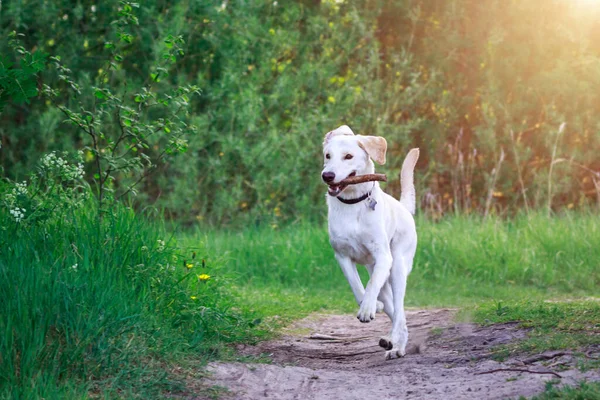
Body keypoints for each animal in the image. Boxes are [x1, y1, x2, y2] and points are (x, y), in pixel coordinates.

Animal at [324, 124, 418, 360]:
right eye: (327, 156)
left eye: (348, 156)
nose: (327, 175)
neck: (353, 204)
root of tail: (404, 209)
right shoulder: (342, 256)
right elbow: (358, 288)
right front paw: (371, 305)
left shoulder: (383, 257)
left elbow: (371, 284)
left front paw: (368, 309)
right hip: (380, 273)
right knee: (393, 309)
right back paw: (392, 339)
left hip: (397, 267)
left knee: (400, 310)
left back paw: (397, 346)